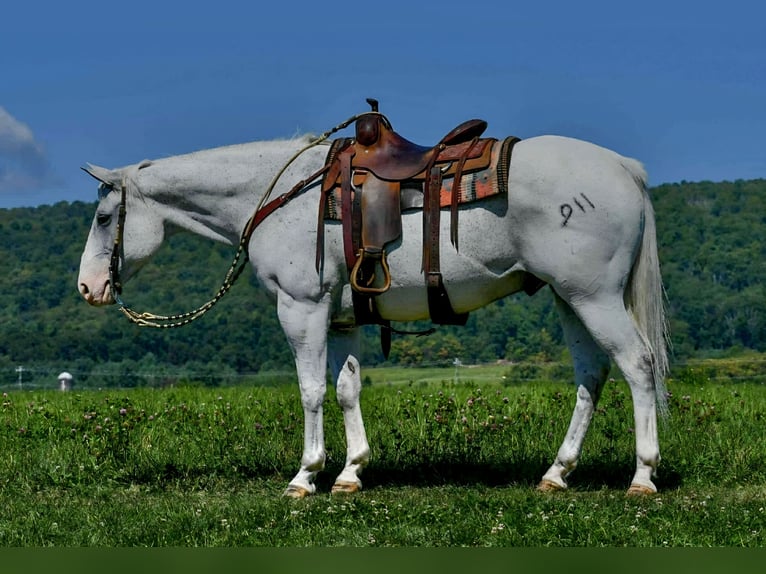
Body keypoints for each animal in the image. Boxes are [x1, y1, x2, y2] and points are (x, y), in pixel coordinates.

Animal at [77, 124, 669, 497]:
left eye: (105, 217)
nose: (88, 287)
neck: (280, 197)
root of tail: (622, 167)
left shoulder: (302, 308)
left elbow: (310, 390)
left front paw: (305, 476)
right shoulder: (340, 315)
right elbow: (346, 388)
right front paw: (350, 473)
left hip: (594, 297)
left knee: (637, 366)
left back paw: (642, 477)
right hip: (570, 298)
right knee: (591, 375)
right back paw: (556, 473)